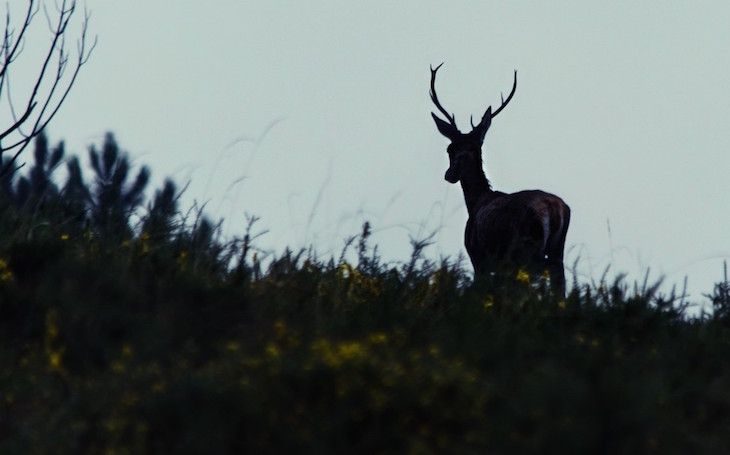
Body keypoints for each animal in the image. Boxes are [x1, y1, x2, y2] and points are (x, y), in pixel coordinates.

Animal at [426, 64, 568, 298]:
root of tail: (556, 209)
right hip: (556, 249)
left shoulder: (478, 258)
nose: (450, 174)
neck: (476, 201)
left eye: (448, 149)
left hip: (527, 249)